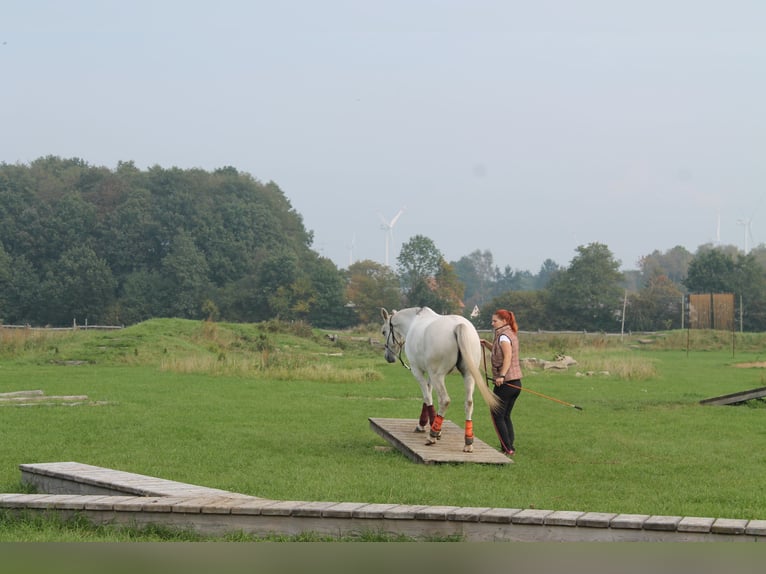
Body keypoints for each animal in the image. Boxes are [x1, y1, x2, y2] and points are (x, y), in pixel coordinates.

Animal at [380, 308, 500, 452]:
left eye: (383, 331)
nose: (388, 357)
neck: (413, 321)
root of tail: (458, 326)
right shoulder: (431, 374)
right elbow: (428, 394)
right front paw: (424, 424)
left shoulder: (418, 371)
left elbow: (427, 397)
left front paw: (432, 428)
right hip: (468, 375)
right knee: (469, 403)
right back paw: (468, 442)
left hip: (438, 376)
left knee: (444, 400)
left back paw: (432, 436)